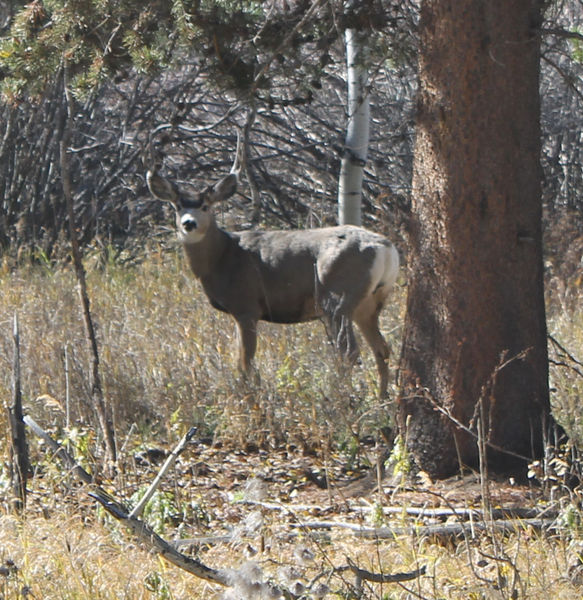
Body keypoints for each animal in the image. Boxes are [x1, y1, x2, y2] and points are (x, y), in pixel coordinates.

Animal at [147, 144, 402, 398]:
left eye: (205, 206)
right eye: (178, 206)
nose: (189, 223)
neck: (224, 256)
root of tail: (385, 249)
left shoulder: (246, 305)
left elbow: (245, 362)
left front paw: (250, 398)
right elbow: (239, 359)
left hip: (338, 297)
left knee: (349, 351)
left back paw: (343, 396)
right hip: (368, 303)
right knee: (382, 348)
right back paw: (382, 398)